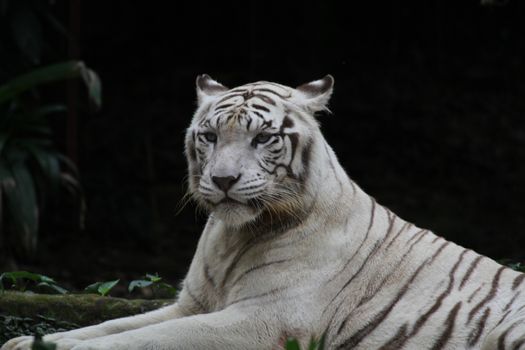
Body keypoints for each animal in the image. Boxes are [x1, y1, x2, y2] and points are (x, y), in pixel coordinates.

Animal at [4, 75, 524, 348]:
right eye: (209, 136)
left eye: (263, 138)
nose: (223, 180)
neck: (232, 236)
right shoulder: (192, 304)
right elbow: (110, 325)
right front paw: (28, 342)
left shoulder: (263, 318)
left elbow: (138, 340)